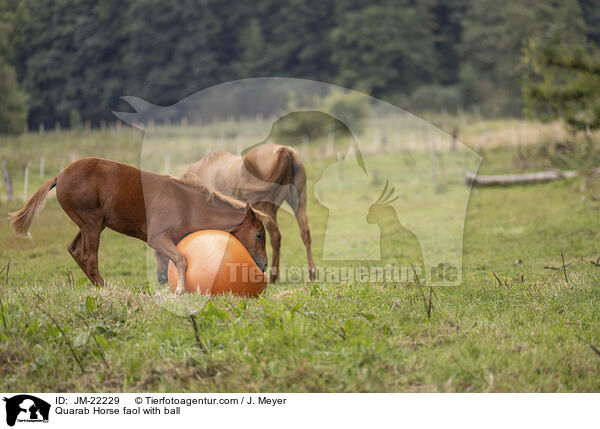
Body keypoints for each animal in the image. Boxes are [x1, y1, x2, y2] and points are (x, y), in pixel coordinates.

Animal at [10, 157, 268, 294]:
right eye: (259, 235)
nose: (264, 265)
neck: (188, 204)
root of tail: (59, 176)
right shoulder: (158, 239)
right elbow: (181, 260)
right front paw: (180, 291)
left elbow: (170, 265)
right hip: (91, 225)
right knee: (88, 257)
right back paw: (106, 289)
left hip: (92, 225)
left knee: (74, 250)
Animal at [178, 144, 316, 282]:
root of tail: (283, 151)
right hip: (299, 203)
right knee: (305, 234)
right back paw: (311, 273)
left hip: (267, 208)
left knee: (276, 237)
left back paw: (273, 276)